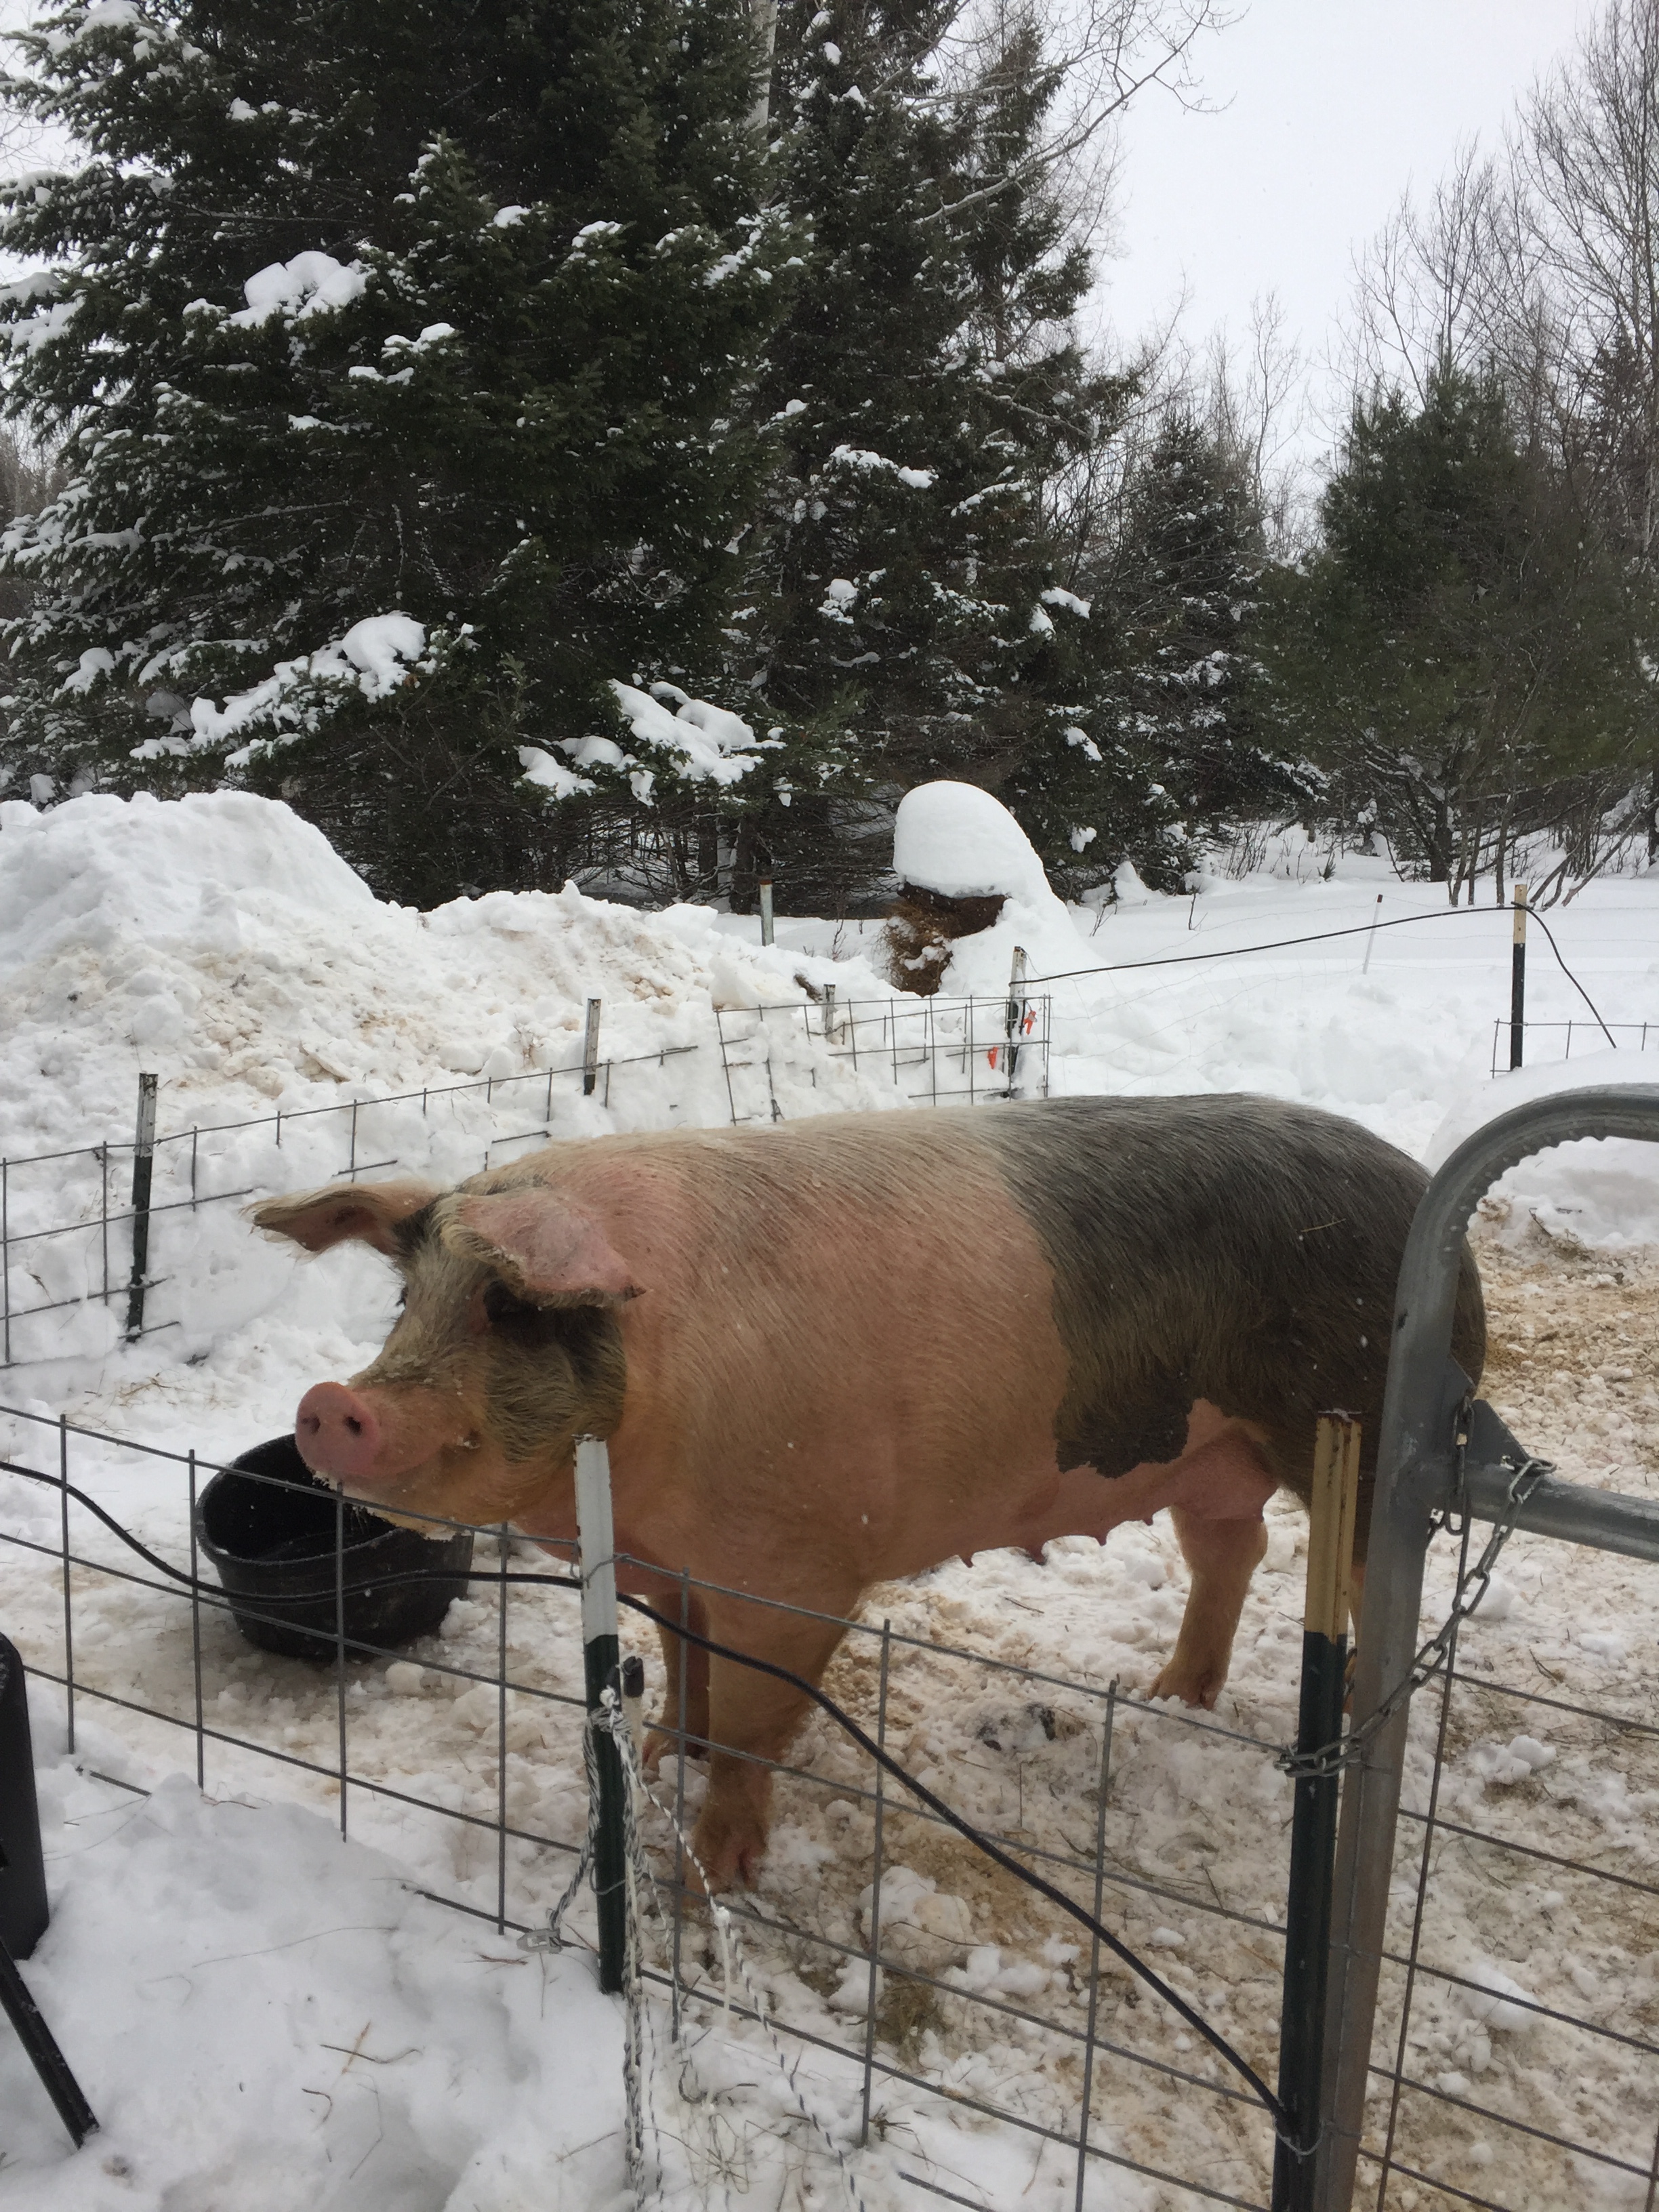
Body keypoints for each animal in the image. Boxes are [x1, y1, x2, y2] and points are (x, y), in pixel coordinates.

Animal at [255, 1094, 1485, 1890]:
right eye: (408, 1297)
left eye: (511, 1306)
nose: (328, 1403)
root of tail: (1427, 1207)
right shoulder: (674, 1570)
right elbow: (690, 1670)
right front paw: (659, 1756)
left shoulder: (795, 1572)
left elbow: (755, 1720)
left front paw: (720, 1871)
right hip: (1208, 1452)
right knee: (1231, 1553)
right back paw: (1168, 1695)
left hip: (1352, 1431)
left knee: (1370, 1581)